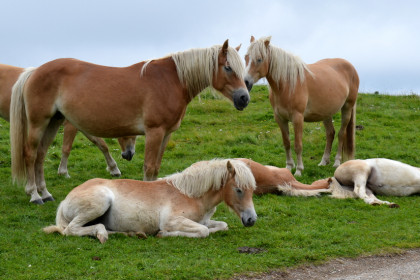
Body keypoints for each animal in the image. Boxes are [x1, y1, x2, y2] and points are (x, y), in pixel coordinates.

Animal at [0, 63, 135, 177]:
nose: (127, 155)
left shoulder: (82, 126)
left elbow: (101, 144)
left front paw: (114, 169)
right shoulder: (71, 125)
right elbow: (66, 148)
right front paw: (63, 172)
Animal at [44, 160, 258, 243]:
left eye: (252, 190)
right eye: (239, 190)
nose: (251, 220)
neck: (190, 194)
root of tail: (64, 201)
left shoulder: (205, 220)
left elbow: (221, 225)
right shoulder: (172, 220)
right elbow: (203, 231)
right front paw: (164, 234)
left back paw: (131, 233)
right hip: (100, 202)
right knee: (71, 229)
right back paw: (102, 234)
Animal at [244, 35, 360, 175]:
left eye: (259, 59)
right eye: (246, 57)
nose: (245, 82)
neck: (287, 84)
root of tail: (351, 67)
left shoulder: (298, 118)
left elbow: (298, 145)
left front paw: (299, 170)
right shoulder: (280, 118)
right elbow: (286, 143)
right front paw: (288, 166)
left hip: (347, 107)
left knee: (341, 134)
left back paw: (337, 162)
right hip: (326, 113)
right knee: (330, 133)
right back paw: (323, 161)